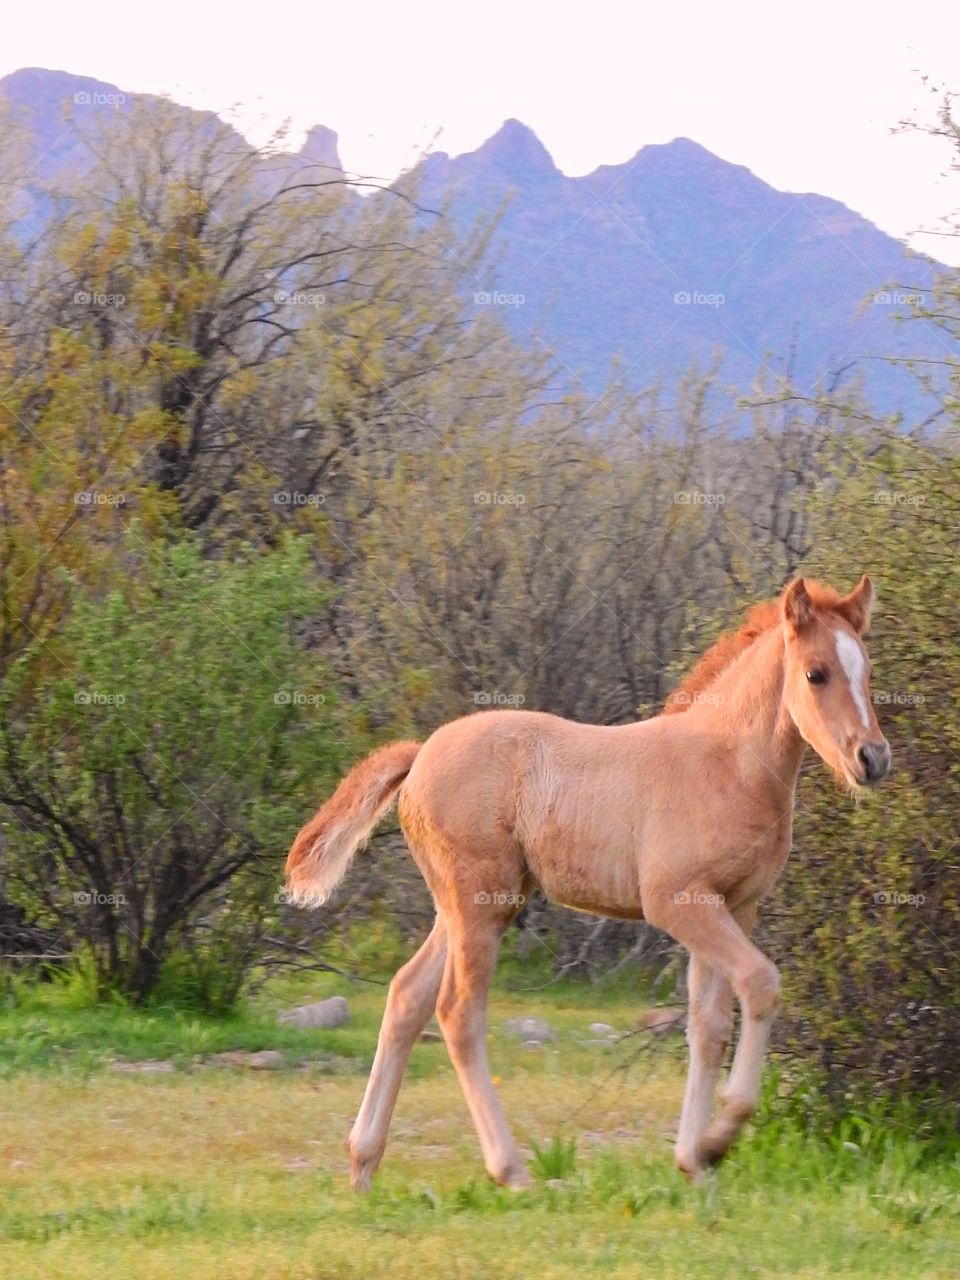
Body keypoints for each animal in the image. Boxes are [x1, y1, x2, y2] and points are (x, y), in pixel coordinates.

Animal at [284, 576, 896, 1182]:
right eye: (816, 673)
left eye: (868, 672)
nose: (872, 759)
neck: (725, 763)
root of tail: (420, 754)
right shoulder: (678, 903)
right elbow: (761, 983)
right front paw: (721, 1137)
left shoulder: (735, 907)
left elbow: (708, 1026)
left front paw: (694, 1162)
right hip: (480, 905)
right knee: (458, 1012)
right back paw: (511, 1171)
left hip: (465, 908)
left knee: (407, 996)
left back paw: (364, 1164)